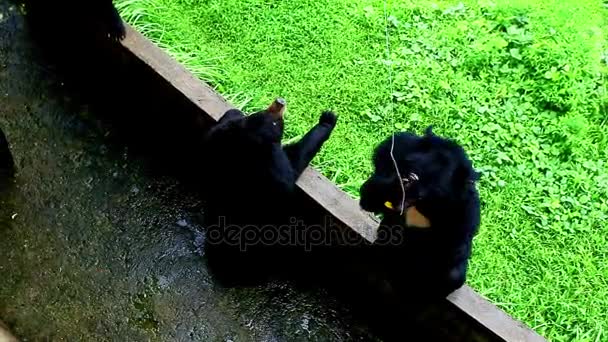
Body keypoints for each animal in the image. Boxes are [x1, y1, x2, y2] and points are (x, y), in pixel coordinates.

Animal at [203, 98, 338, 284]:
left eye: (261, 111)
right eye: (278, 122)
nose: (280, 101)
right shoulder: (276, 172)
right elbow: (294, 163)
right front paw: (327, 120)